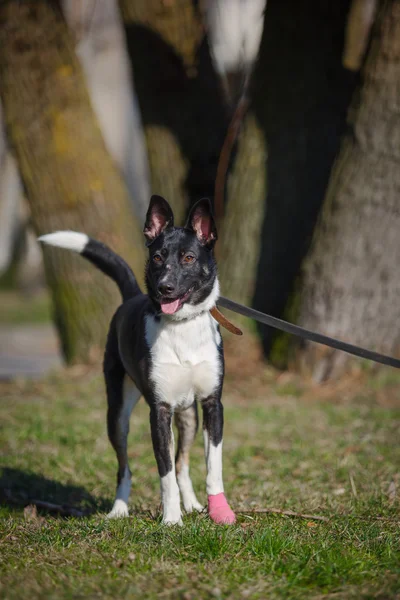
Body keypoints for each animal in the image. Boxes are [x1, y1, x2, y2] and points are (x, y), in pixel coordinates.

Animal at [39, 197, 236, 524]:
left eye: (189, 258)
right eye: (157, 257)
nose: (164, 288)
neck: (182, 325)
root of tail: (131, 295)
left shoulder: (212, 404)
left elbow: (213, 466)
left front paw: (219, 511)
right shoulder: (160, 410)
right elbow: (164, 473)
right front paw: (171, 519)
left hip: (189, 416)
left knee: (182, 463)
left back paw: (193, 504)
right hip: (117, 414)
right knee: (125, 466)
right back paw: (119, 509)